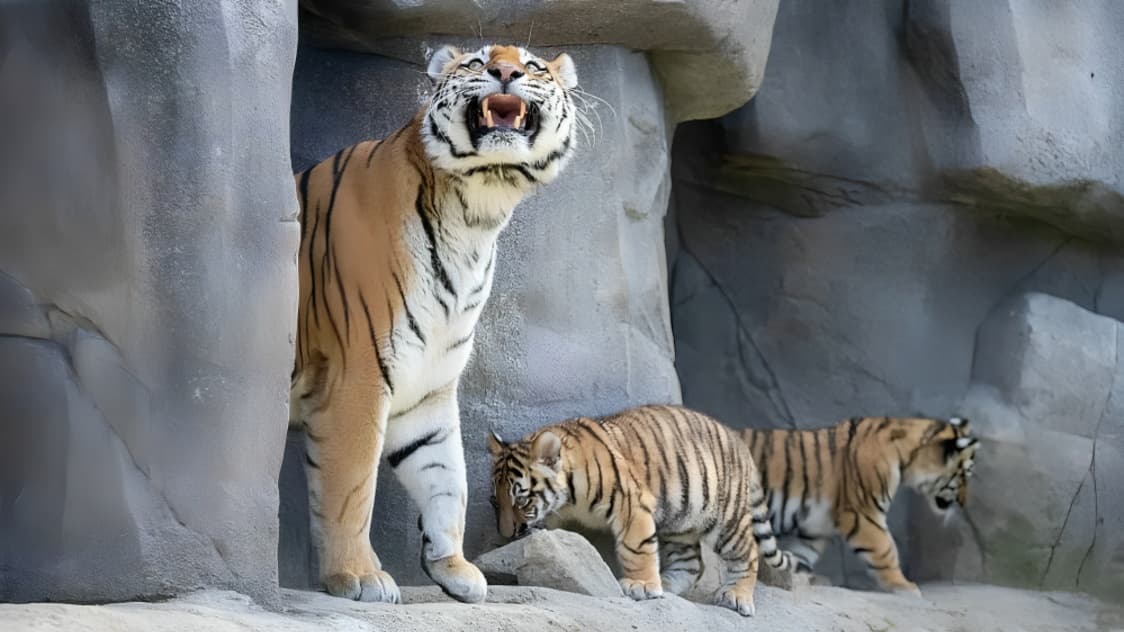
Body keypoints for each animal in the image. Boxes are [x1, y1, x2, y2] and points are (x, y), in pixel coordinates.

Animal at [289, 44, 580, 604]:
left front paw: (454, 567)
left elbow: (448, 477)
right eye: (477, 61)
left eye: (533, 66)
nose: (506, 70)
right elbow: (351, 484)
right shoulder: (357, 373)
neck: (475, 215)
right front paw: (357, 575)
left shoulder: (429, 385)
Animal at [487, 404, 795, 617]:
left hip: (725, 519)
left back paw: (736, 596)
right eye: (495, 503)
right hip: (679, 521)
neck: (569, 497)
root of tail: (738, 440)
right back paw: (668, 584)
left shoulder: (631, 502)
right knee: (692, 563)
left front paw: (641, 586)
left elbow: (636, 548)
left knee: (748, 551)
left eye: (521, 501)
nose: (506, 533)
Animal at [739, 415, 979, 596]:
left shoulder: (815, 527)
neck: (907, 459)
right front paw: (905, 587)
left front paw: (799, 575)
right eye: (964, 475)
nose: (964, 502)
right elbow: (886, 550)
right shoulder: (863, 514)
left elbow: (802, 554)